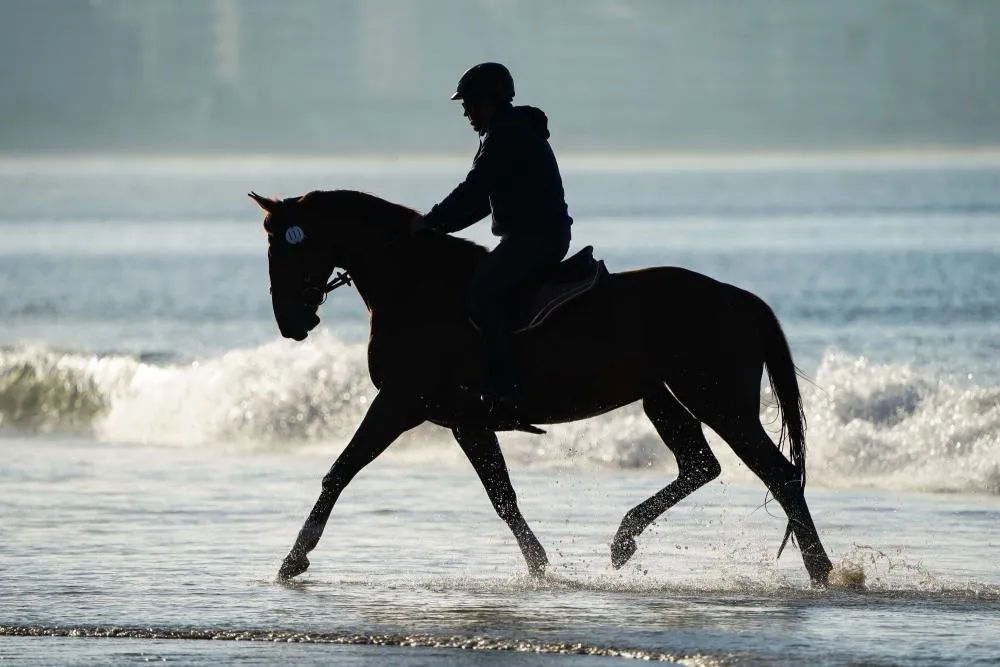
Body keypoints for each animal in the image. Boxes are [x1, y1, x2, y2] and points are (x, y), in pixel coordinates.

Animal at [252, 187, 836, 584]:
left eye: (284, 248)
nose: (290, 322)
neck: (415, 286)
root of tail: (738, 298)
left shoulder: (399, 404)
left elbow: (340, 471)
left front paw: (295, 557)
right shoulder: (465, 421)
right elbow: (503, 496)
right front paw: (539, 566)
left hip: (719, 401)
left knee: (779, 474)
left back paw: (820, 568)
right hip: (662, 395)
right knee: (700, 464)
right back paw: (624, 539)